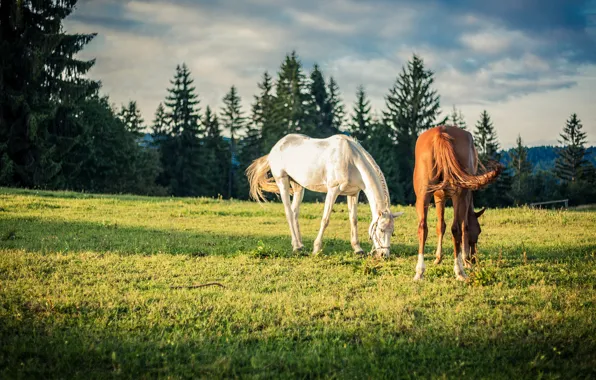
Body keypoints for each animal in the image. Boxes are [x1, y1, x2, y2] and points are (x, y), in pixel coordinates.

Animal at [244, 134, 402, 258]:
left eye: (392, 232)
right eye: (381, 229)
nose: (384, 254)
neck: (351, 160)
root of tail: (276, 147)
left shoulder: (353, 193)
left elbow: (353, 220)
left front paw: (358, 249)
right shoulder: (333, 190)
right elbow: (325, 219)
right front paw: (316, 248)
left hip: (298, 187)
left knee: (294, 213)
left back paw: (299, 245)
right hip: (282, 181)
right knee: (289, 213)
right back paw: (297, 247)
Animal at [414, 124, 502, 280]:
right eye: (478, 231)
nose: (474, 258)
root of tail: (440, 133)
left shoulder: (439, 197)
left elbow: (440, 226)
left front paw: (438, 258)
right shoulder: (465, 198)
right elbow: (464, 226)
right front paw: (465, 259)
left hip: (423, 195)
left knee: (423, 227)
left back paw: (420, 271)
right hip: (459, 195)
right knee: (456, 228)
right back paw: (460, 270)